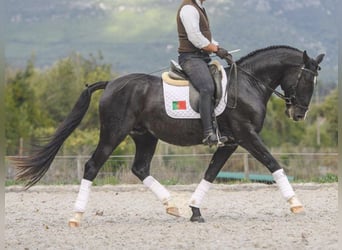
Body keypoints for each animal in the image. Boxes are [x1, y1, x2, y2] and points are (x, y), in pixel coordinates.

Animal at [12, 45, 324, 227]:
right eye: (307, 79)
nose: (299, 113)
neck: (247, 83)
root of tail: (111, 83)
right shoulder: (246, 135)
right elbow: (273, 163)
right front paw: (296, 204)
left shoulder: (231, 143)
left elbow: (211, 172)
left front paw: (195, 210)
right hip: (113, 134)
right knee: (91, 166)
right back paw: (76, 217)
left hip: (145, 136)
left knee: (140, 168)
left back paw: (171, 206)